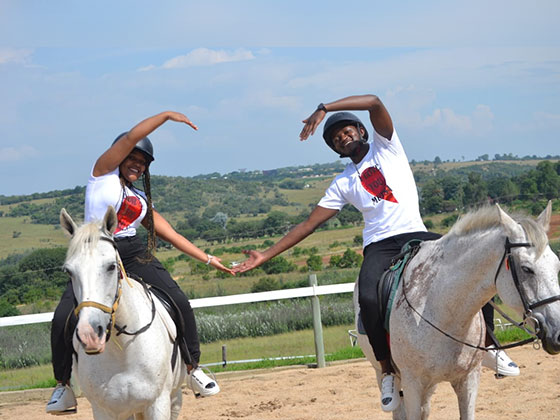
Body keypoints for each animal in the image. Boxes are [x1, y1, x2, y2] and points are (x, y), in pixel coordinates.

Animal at [60, 208, 188, 420]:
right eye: (68, 271)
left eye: (111, 266)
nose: (90, 335)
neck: (122, 353)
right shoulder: (104, 410)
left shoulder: (158, 403)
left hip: (174, 397)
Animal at [354, 202, 560, 418]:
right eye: (527, 269)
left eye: (557, 266)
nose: (558, 334)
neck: (442, 310)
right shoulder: (412, 385)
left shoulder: (468, 380)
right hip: (387, 374)